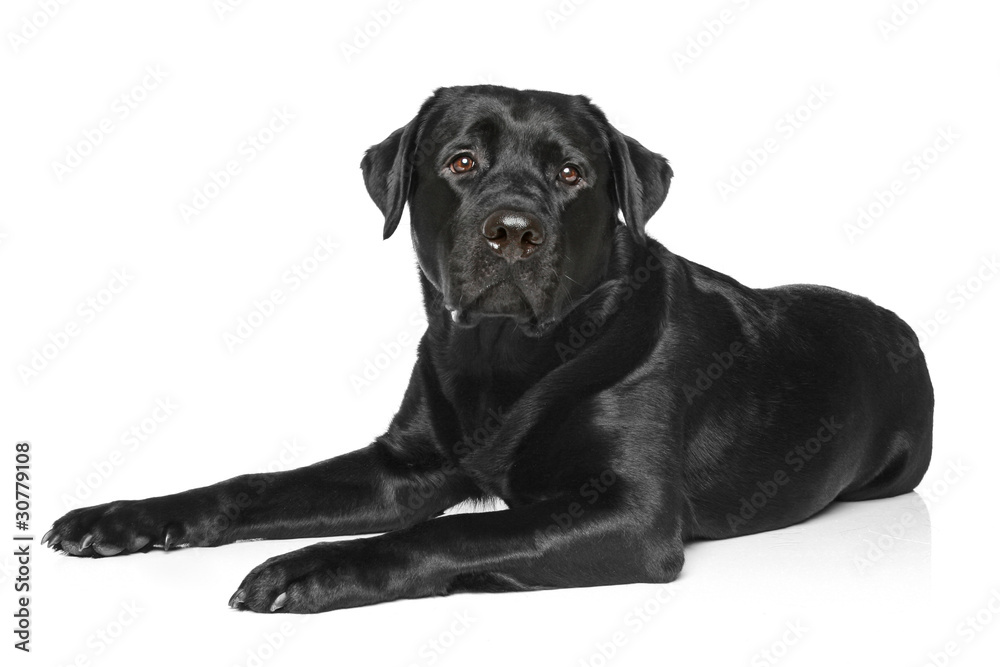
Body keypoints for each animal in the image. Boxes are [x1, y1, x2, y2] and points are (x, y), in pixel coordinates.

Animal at [43, 86, 932, 612]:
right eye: (462, 161)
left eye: (572, 173)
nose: (514, 229)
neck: (506, 360)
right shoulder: (403, 466)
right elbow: (253, 485)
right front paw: (121, 518)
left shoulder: (630, 512)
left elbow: (448, 535)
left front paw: (305, 567)